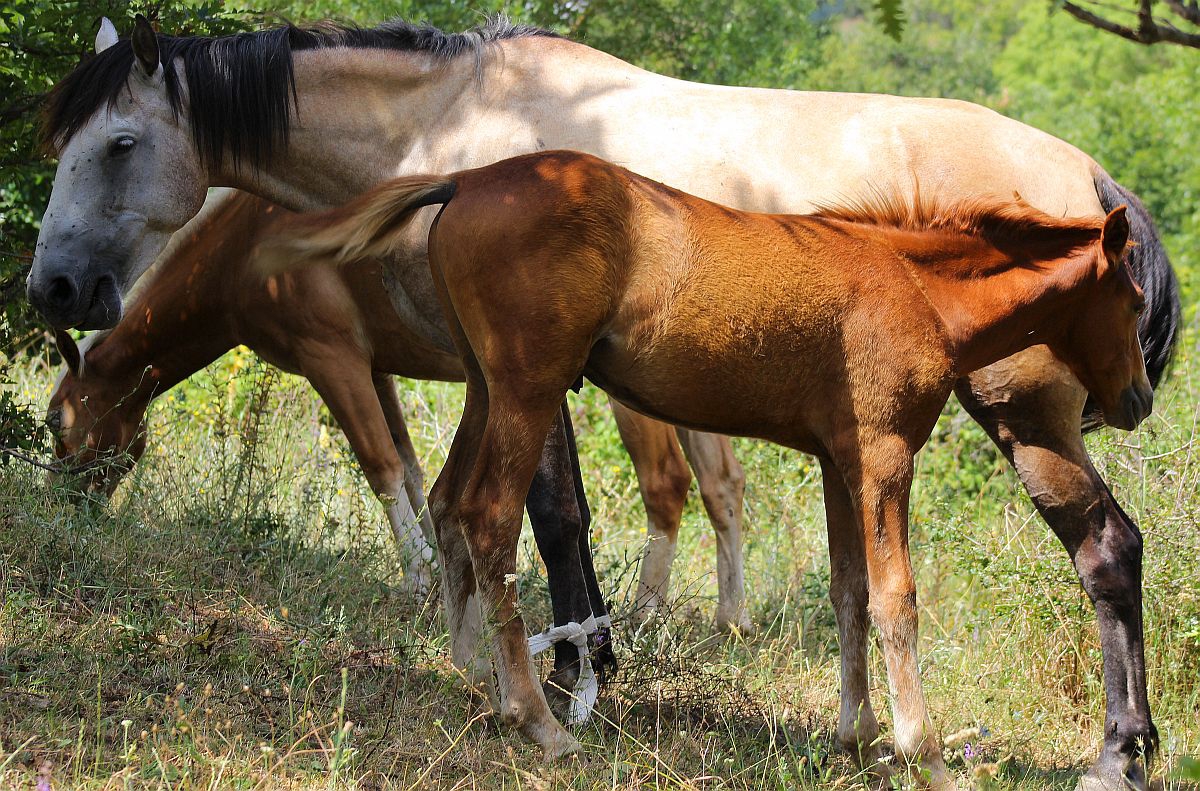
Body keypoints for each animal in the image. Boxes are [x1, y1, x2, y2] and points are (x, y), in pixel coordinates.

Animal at [265, 148, 1152, 787]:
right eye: (1135, 301)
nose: (1139, 399)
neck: (915, 286)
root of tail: (467, 180)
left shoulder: (836, 459)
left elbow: (848, 591)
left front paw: (855, 734)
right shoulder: (883, 454)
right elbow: (896, 598)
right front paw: (923, 751)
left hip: (487, 384)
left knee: (451, 504)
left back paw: (469, 671)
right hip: (528, 387)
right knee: (487, 516)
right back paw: (537, 720)